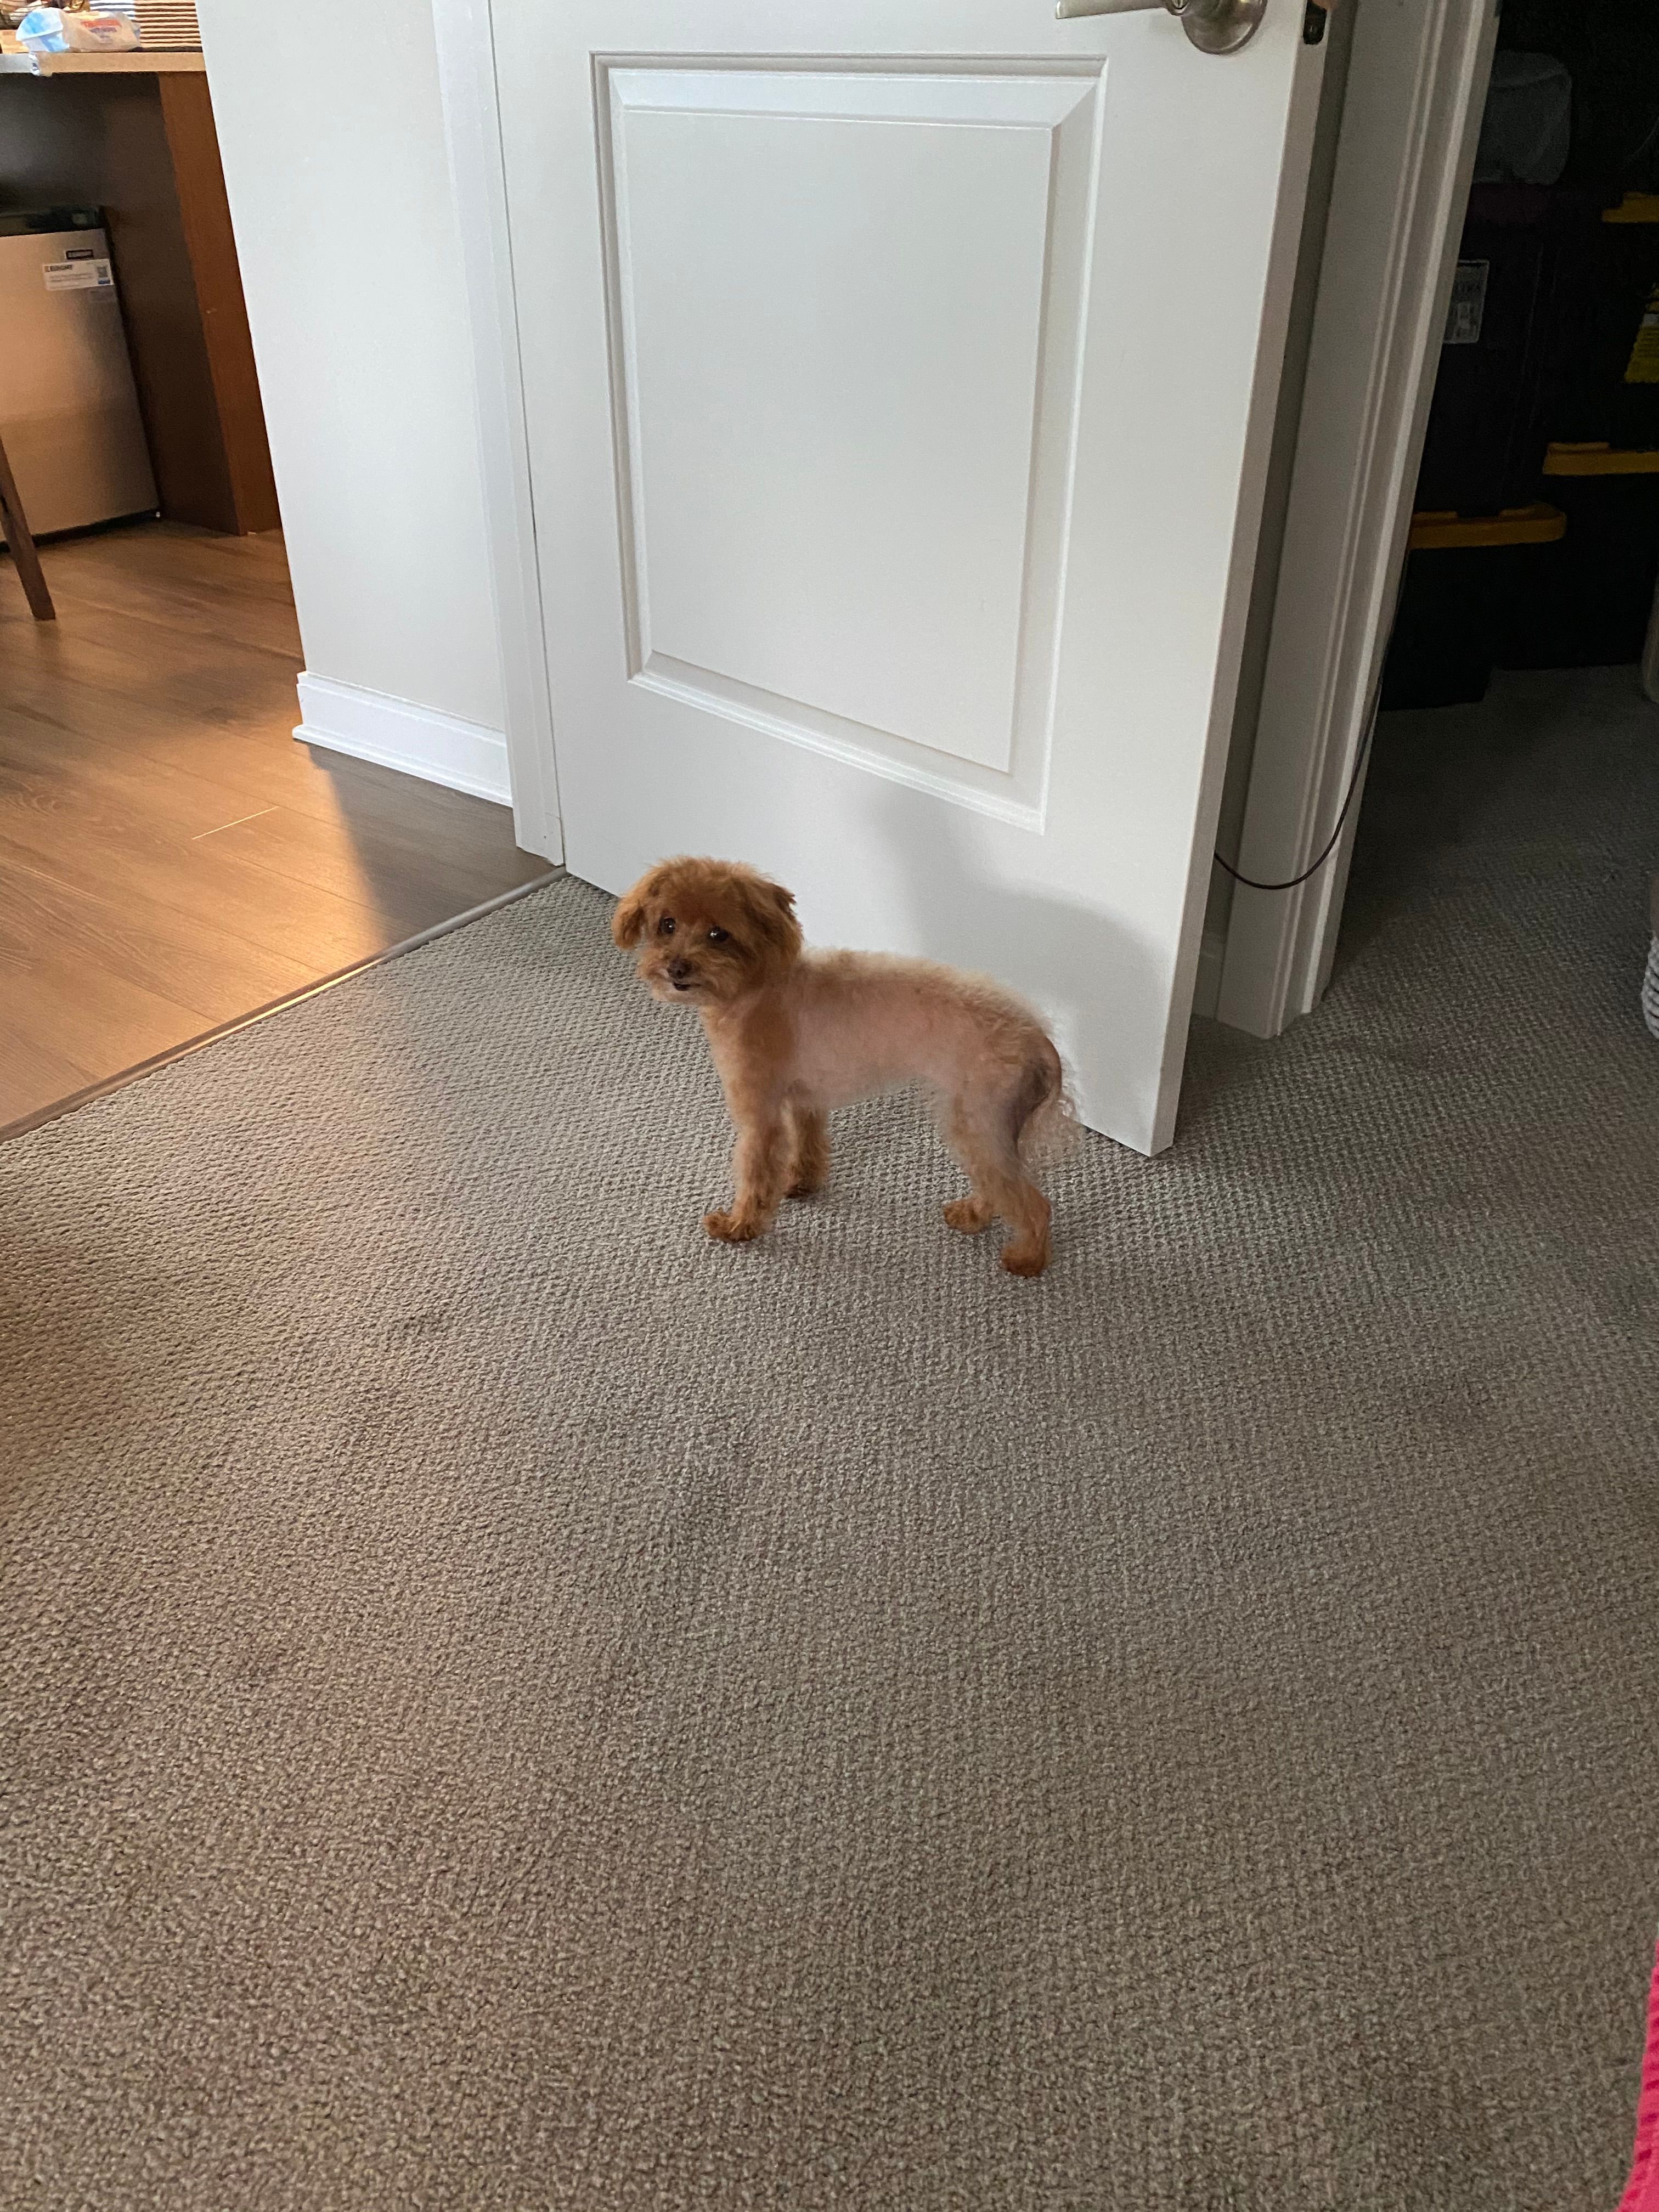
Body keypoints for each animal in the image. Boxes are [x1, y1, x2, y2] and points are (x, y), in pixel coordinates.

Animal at [612, 856, 1068, 1276]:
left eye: (718, 934)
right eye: (667, 924)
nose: (676, 968)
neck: (757, 989)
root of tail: (1037, 1037)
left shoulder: (760, 1116)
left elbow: (754, 1175)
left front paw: (739, 1226)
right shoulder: (804, 1101)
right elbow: (808, 1147)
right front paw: (801, 1184)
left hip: (976, 1124)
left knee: (1034, 1203)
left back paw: (1027, 1259)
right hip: (985, 1130)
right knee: (998, 1188)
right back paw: (972, 1218)